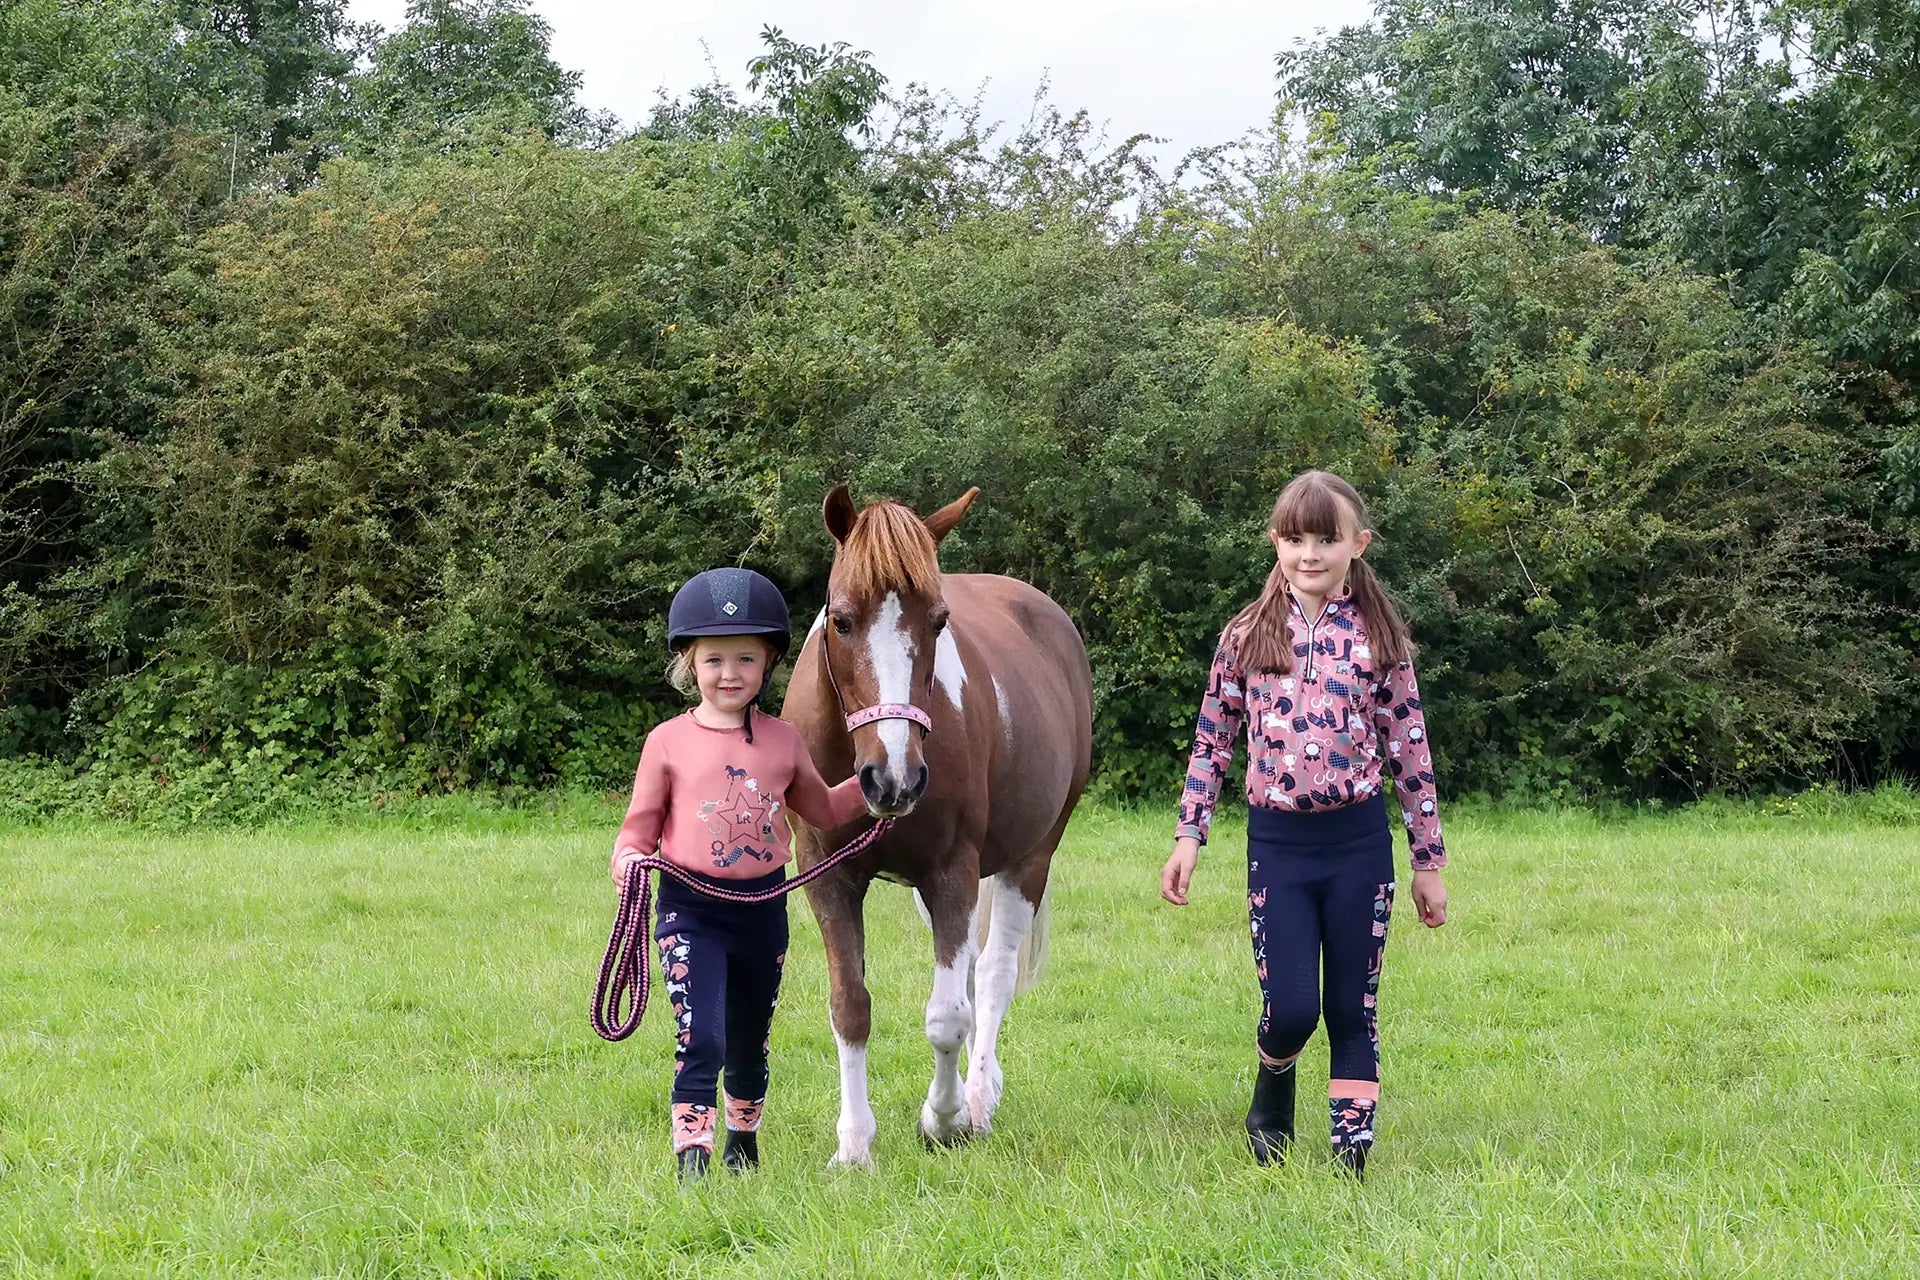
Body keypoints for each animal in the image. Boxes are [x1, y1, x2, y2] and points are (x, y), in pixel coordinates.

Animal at [781, 484, 1093, 1165]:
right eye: (841, 620)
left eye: (939, 622)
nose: (892, 779)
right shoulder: (828, 876)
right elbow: (850, 1006)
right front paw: (854, 1145)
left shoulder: (952, 870)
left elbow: (948, 1016)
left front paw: (943, 1118)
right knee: (974, 967)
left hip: (1030, 856)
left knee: (994, 974)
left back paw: (977, 1098)